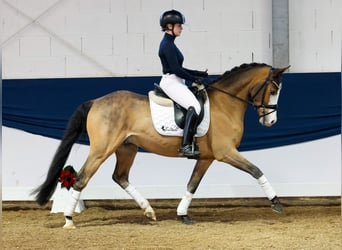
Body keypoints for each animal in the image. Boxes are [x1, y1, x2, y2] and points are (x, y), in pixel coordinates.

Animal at [32, 63, 290, 229]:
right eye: (273, 90)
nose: (271, 122)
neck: (225, 104)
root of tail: (96, 101)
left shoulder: (206, 158)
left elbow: (192, 184)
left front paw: (183, 214)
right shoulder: (226, 153)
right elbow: (256, 170)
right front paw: (276, 203)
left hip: (127, 148)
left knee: (120, 176)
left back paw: (148, 210)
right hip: (101, 150)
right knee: (81, 179)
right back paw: (68, 220)